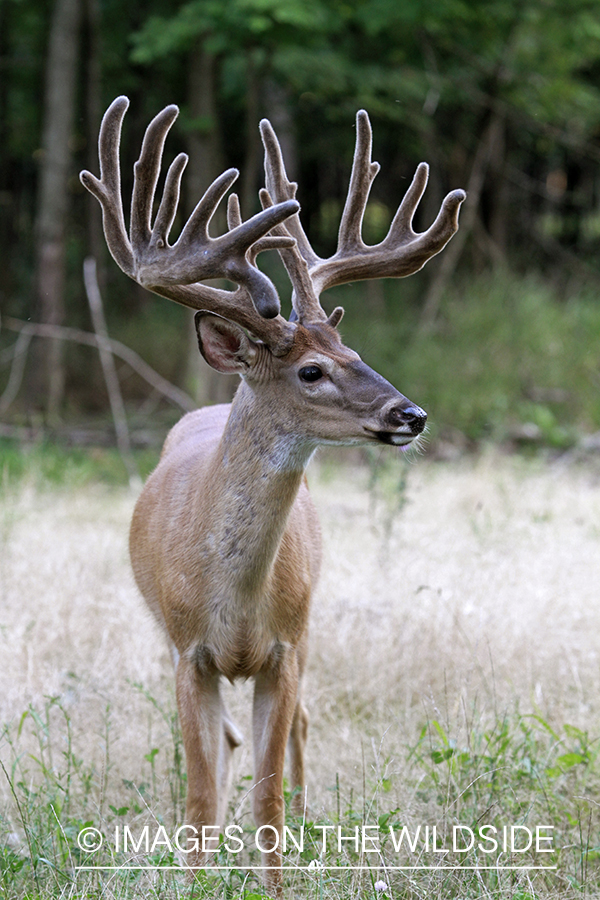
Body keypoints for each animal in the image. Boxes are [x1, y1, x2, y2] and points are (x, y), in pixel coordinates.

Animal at [79, 98, 464, 892]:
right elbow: (199, 795)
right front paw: (195, 879)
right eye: (312, 371)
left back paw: (316, 820)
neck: (232, 598)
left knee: (300, 736)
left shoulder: (285, 648)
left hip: (310, 631)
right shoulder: (187, 652)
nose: (410, 415)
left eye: (355, 353)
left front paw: (274, 883)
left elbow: (269, 798)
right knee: (225, 744)